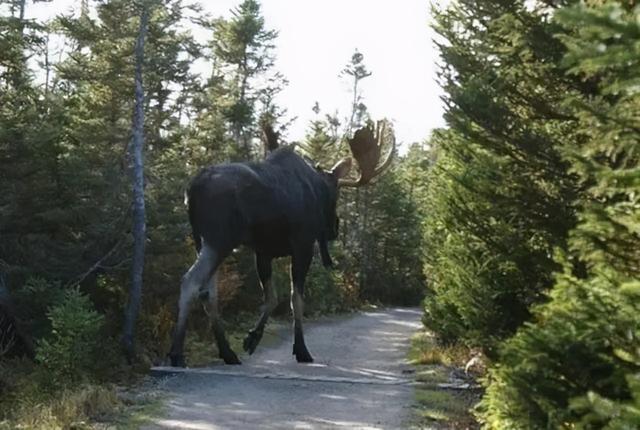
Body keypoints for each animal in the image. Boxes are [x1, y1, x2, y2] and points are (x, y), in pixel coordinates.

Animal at [168, 121, 392, 366]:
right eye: (336, 193)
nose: (334, 228)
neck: (316, 186)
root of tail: (192, 189)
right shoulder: (302, 246)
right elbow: (296, 299)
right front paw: (301, 349)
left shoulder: (263, 251)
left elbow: (272, 297)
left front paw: (252, 338)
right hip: (219, 240)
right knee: (191, 282)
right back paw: (177, 353)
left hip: (202, 241)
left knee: (209, 292)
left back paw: (228, 353)